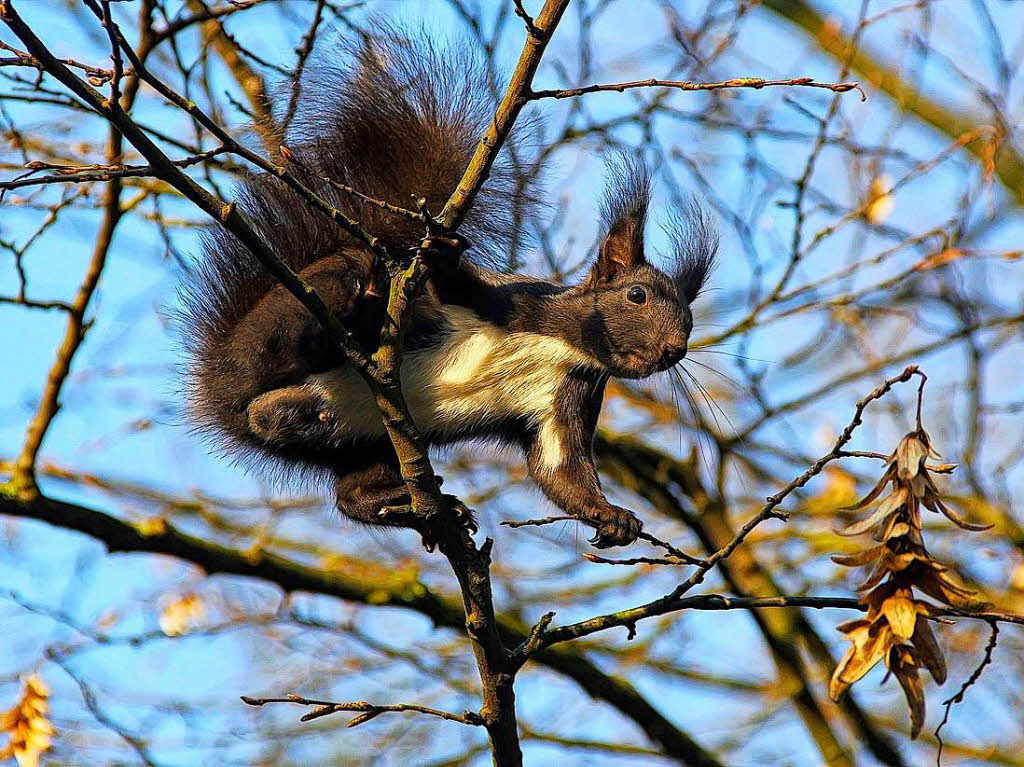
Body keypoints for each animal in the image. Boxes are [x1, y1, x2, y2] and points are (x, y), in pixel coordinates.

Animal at [180, 28, 716, 544]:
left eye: (690, 323)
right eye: (636, 295)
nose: (674, 349)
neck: (565, 347)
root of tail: (222, 387)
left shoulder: (567, 403)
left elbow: (561, 472)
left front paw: (612, 516)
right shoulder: (511, 302)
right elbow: (451, 282)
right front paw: (442, 249)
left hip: (360, 445)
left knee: (346, 491)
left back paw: (398, 498)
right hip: (286, 326)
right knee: (286, 348)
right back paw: (353, 310)